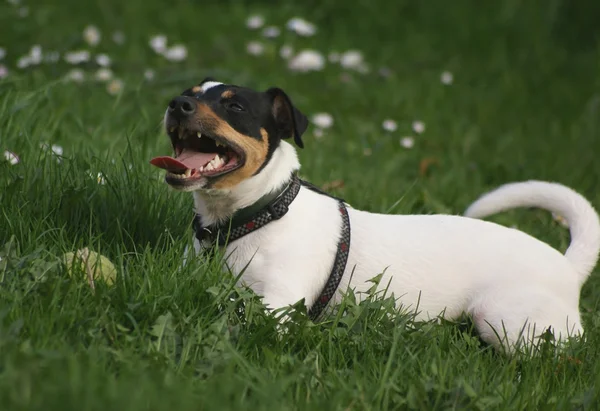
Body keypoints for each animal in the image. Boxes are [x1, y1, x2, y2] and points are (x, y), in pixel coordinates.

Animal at [151, 79, 600, 352]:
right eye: (190, 92)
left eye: (235, 106)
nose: (176, 103)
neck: (251, 218)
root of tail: (567, 266)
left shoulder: (277, 308)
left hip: (506, 320)